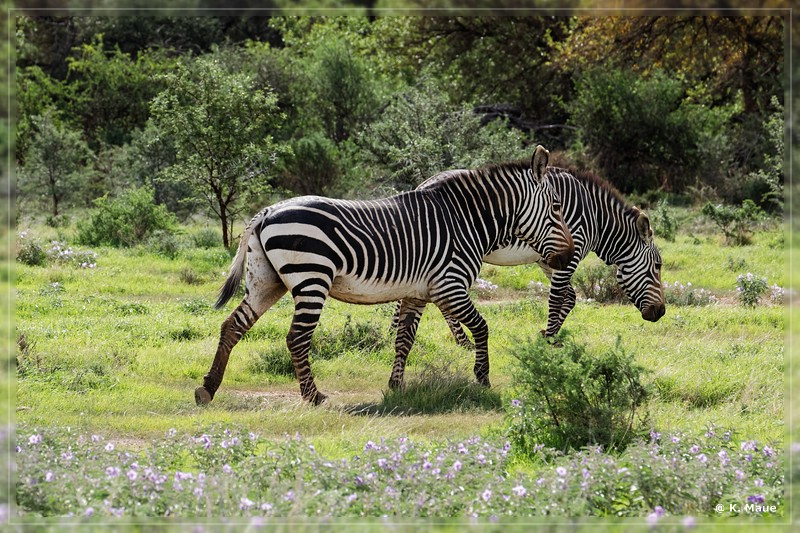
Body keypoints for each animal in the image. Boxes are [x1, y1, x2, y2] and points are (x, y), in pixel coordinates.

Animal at [198, 145, 580, 404]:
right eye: (557, 207)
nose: (567, 257)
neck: (468, 221)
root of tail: (265, 212)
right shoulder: (450, 286)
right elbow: (482, 327)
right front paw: (482, 379)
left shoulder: (417, 292)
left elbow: (404, 340)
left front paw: (396, 386)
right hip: (311, 278)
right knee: (296, 338)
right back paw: (313, 395)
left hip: (266, 281)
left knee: (232, 326)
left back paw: (208, 387)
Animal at [396, 165, 664, 350]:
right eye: (657, 266)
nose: (661, 312)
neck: (595, 217)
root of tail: (423, 184)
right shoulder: (571, 252)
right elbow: (557, 299)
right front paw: (548, 340)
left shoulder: (550, 259)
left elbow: (569, 298)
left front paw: (549, 335)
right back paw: (461, 341)